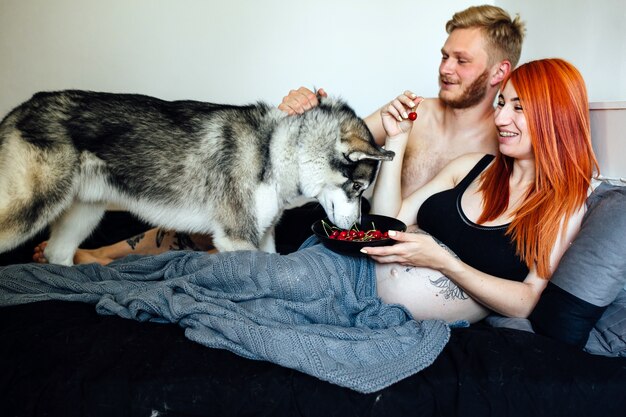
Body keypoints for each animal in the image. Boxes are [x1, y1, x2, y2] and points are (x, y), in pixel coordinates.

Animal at [0, 90, 392, 264]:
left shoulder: (262, 238)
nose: (359, 227)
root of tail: (19, 109)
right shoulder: (237, 240)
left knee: (57, 255)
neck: (274, 149)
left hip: (83, 214)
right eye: (357, 187)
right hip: (29, 210)